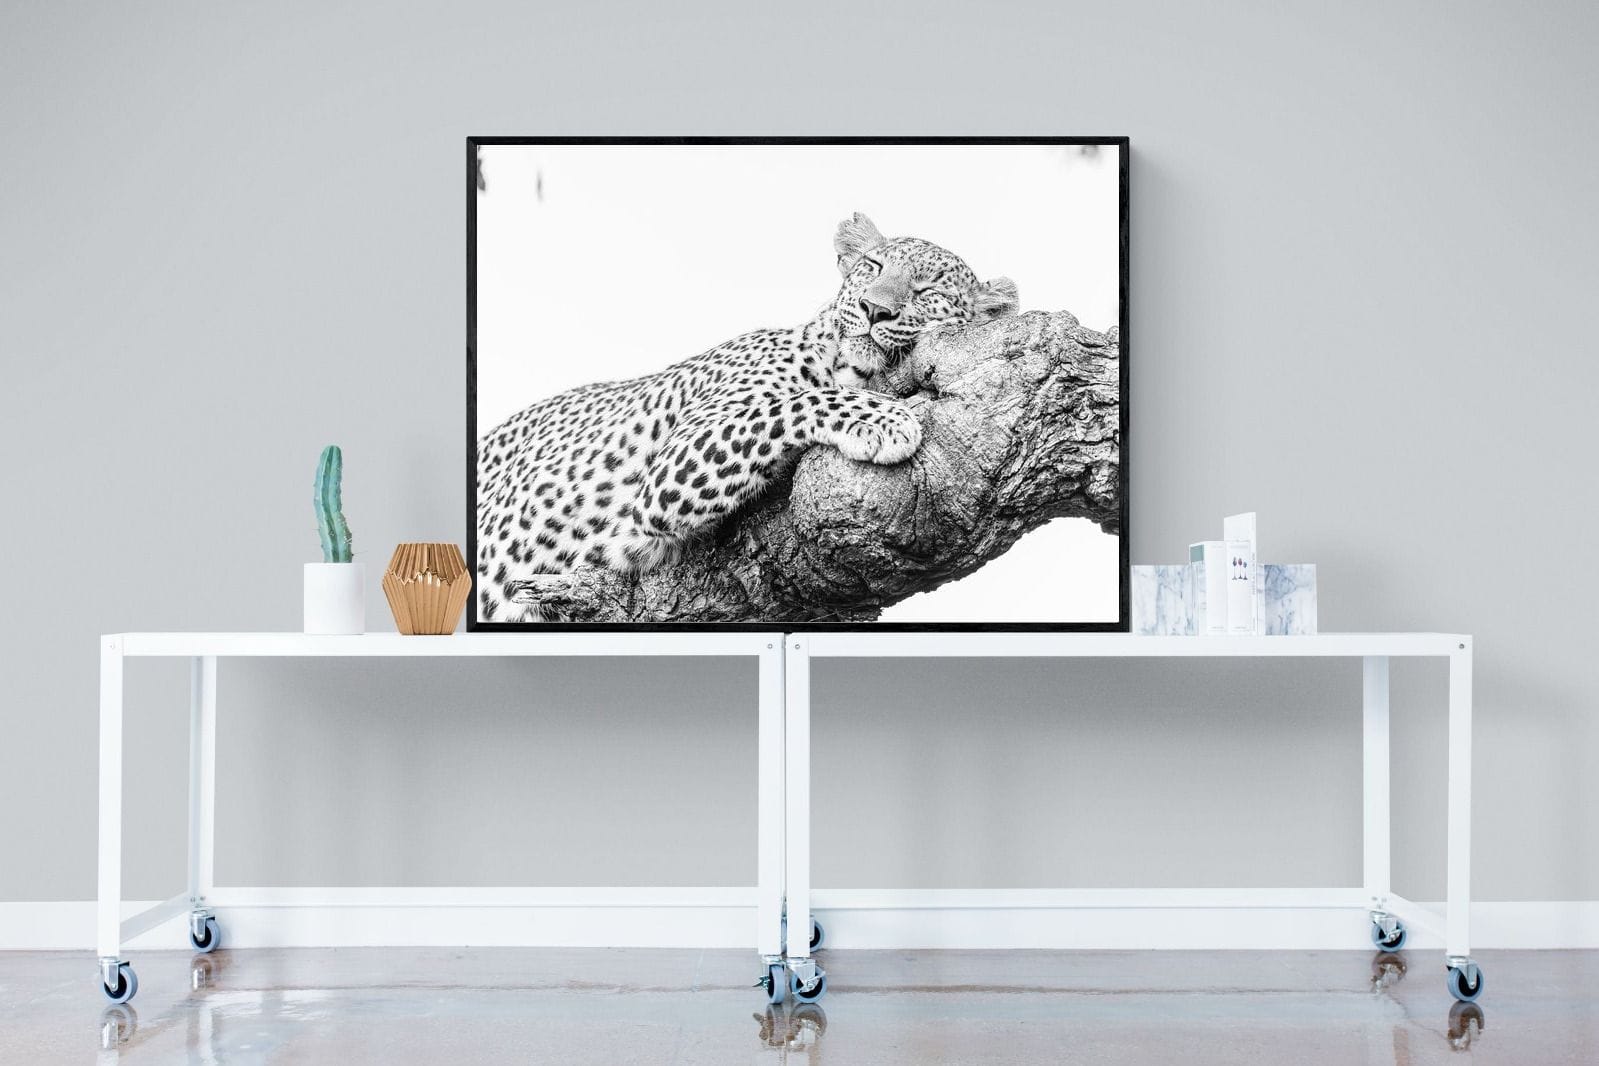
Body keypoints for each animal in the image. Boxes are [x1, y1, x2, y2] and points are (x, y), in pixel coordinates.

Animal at [474, 212, 1019, 622]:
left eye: (928, 290)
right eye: (873, 265)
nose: (873, 309)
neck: (845, 362)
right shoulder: (671, 468)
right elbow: (791, 403)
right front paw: (886, 419)